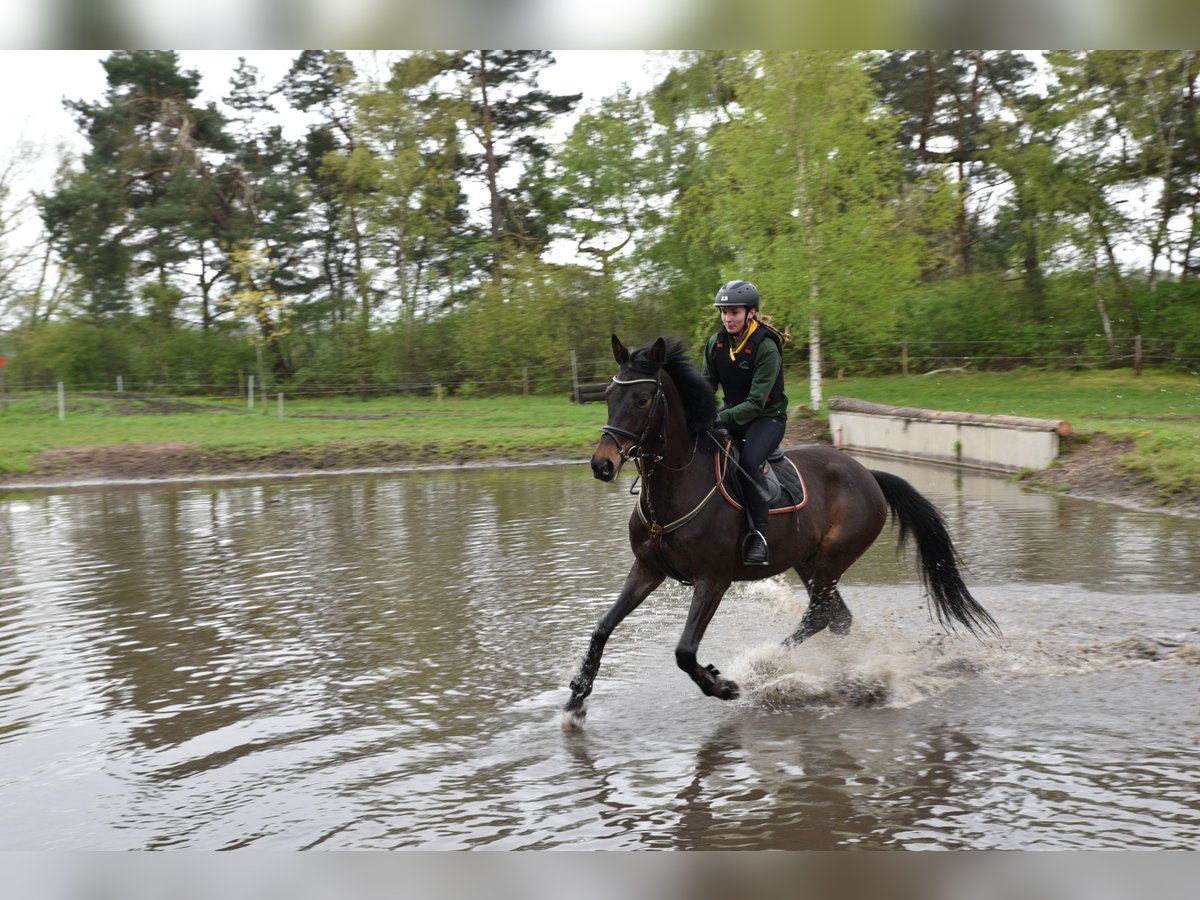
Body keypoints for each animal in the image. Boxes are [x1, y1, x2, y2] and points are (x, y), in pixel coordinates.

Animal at [561, 338, 993, 734]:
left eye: (642, 398)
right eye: (609, 395)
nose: (602, 464)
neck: (678, 484)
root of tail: (868, 474)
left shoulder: (713, 579)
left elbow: (684, 651)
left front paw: (722, 686)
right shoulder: (647, 570)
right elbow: (601, 629)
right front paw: (576, 700)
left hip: (831, 560)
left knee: (822, 614)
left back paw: (767, 667)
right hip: (808, 561)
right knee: (834, 617)